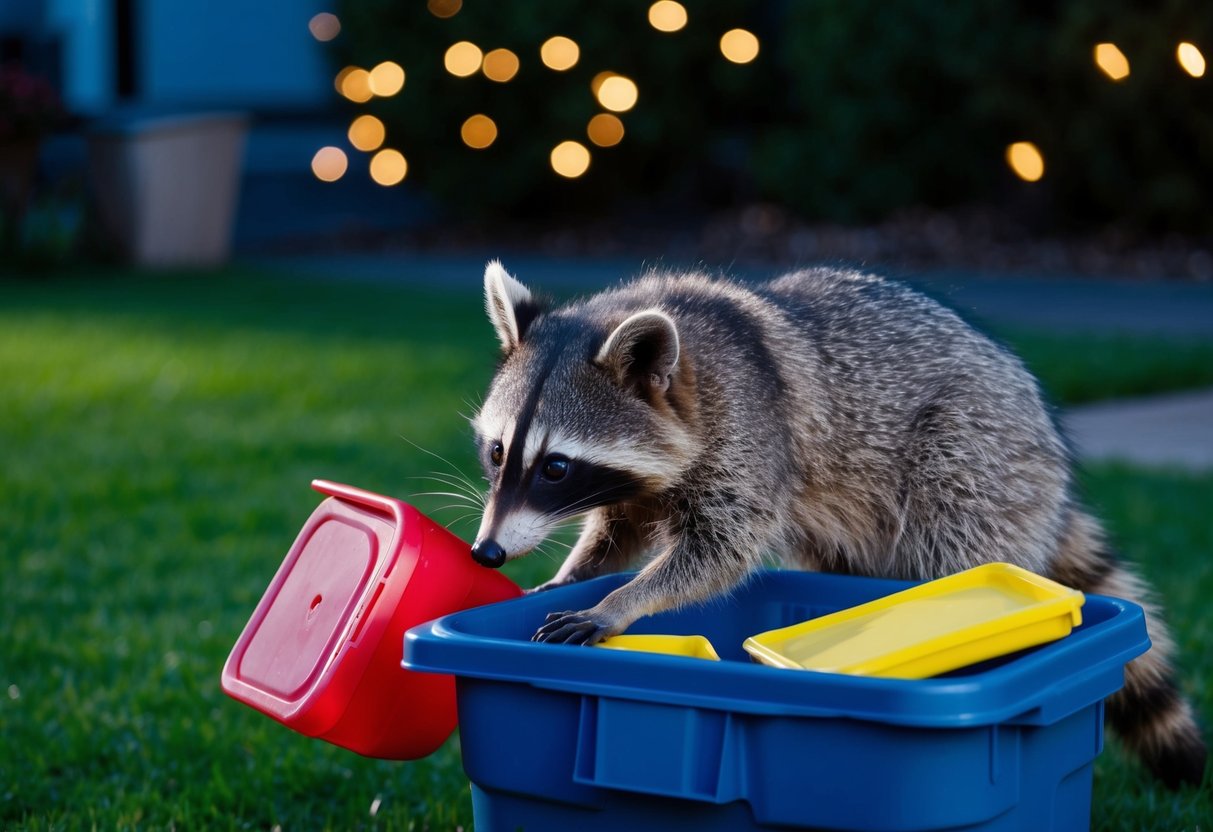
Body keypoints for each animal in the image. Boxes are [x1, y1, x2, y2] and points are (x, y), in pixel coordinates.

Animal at [468, 260, 1207, 788]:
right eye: (498, 452)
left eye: (556, 467)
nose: (487, 553)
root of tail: (1045, 441)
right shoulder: (641, 480)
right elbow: (618, 531)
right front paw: (576, 573)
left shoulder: (748, 433)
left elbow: (721, 549)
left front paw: (624, 600)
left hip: (979, 458)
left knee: (953, 539)